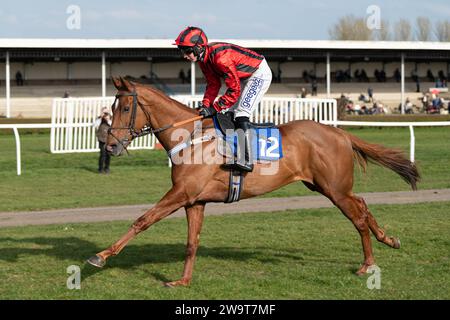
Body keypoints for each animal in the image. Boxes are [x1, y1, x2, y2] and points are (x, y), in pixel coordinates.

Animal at [87, 77, 418, 288]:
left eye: (124, 108)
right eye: (111, 109)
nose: (110, 145)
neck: (191, 136)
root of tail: (340, 132)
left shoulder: (181, 193)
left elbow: (142, 220)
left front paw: (100, 256)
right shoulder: (195, 200)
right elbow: (192, 243)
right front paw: (183, 281)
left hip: (334, 188)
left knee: (358, 217)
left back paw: (367, 263)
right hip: (326, 186)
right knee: (361, 204)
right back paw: (389, 239)